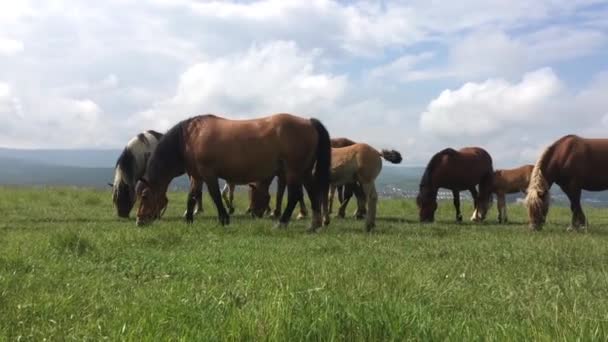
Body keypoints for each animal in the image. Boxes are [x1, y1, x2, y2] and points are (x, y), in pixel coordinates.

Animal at [135, 112, 330, 230]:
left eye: (144, 196)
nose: (139, 220)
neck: (191, 137)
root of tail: (308, 122)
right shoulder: (197, 176)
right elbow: (192, 196)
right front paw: (189, 219)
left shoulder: (208, 173)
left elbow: (214, 195)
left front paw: (224, 219)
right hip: (304, 171)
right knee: (312, 192)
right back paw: (314, 224)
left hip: (293, 171)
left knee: (295, 195)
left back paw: (282, 223)